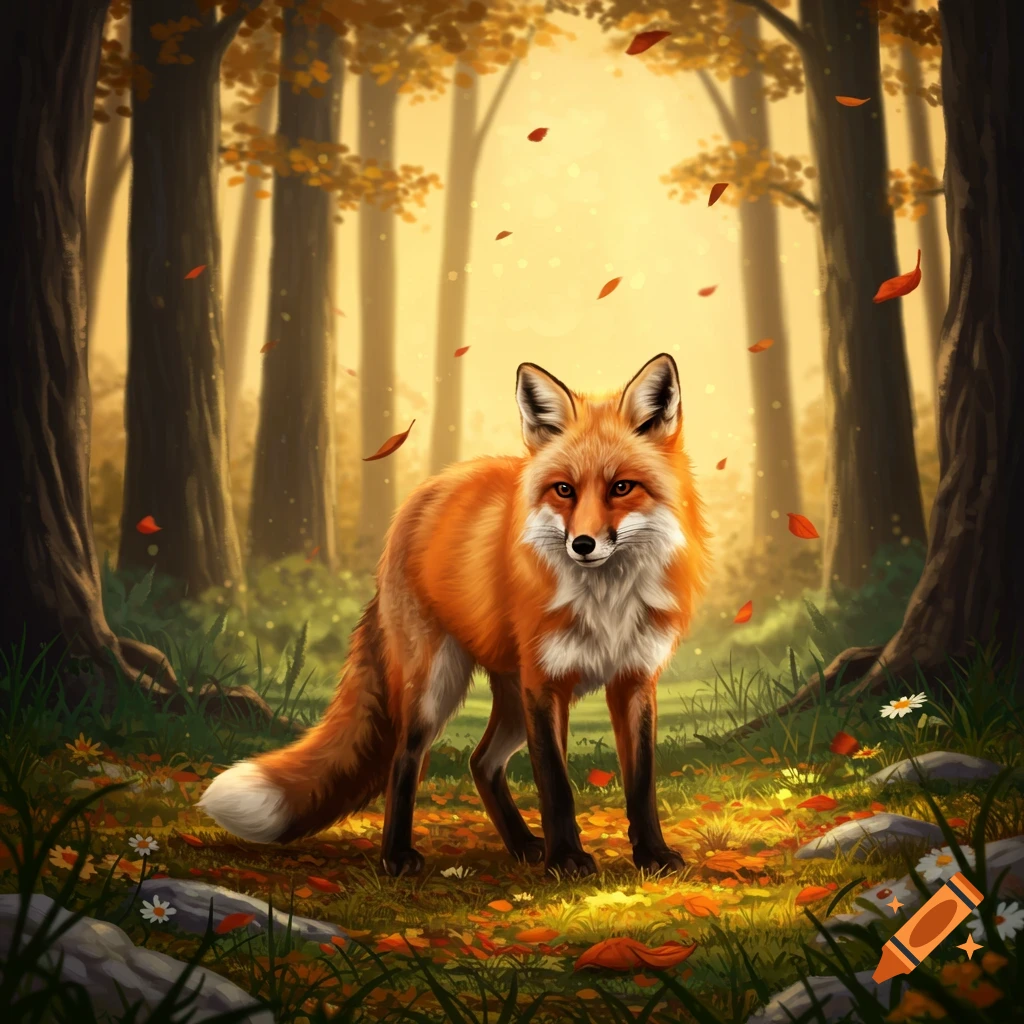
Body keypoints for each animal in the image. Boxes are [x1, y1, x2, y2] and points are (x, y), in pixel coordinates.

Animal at [199, 353, 709, 878]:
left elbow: (641, 783)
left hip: (510, 700)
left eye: (622, 487)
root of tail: (422, 496)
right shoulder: (546, 683)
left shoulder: (633, 680)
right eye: (564, 490)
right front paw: (566, 858)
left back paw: (522, 845)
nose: (582, 544)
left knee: (480, 763)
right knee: (405, 760)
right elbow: (556, 784)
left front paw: (652, 856)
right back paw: (397, 857)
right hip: (436, 685)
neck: (606, 603)